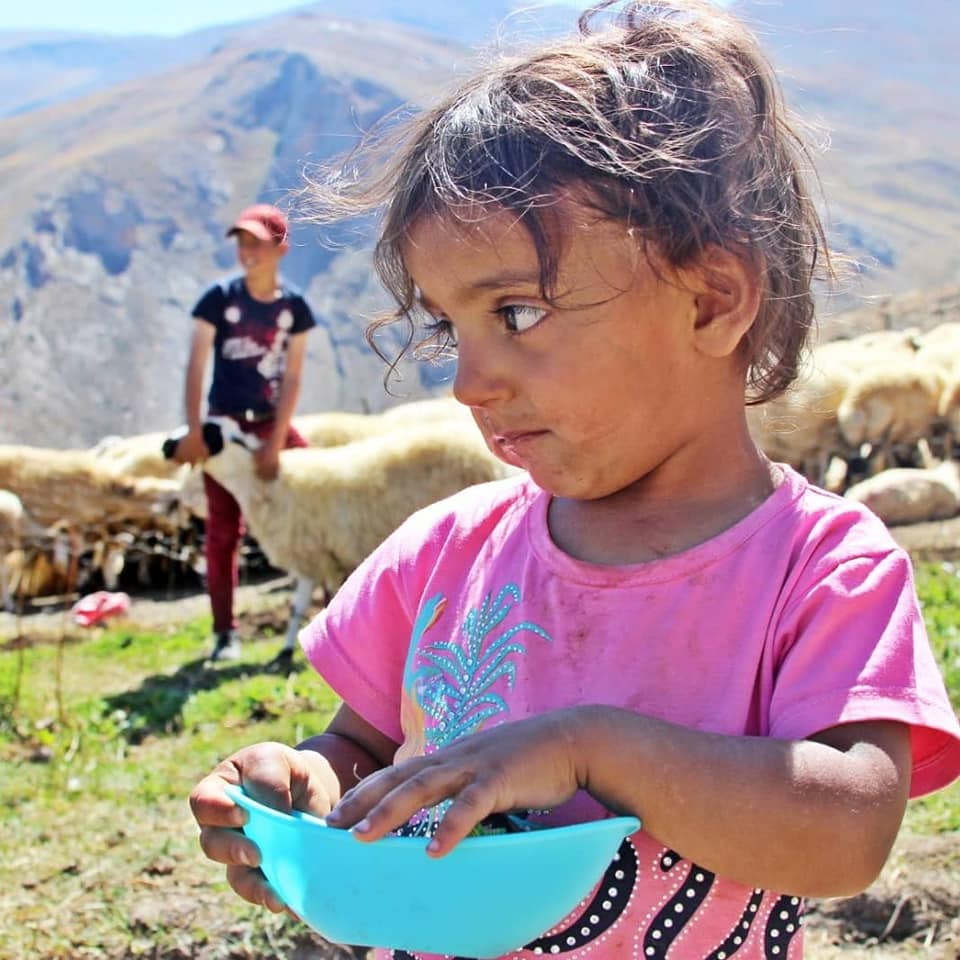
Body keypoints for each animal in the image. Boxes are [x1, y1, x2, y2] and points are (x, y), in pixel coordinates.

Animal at [168, 416, 517, 655]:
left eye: (207, 431)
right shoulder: (314, 558)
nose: (166, 445)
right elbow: (298, 606)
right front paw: (287, 649)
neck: (268, 485)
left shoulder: (318, 554)